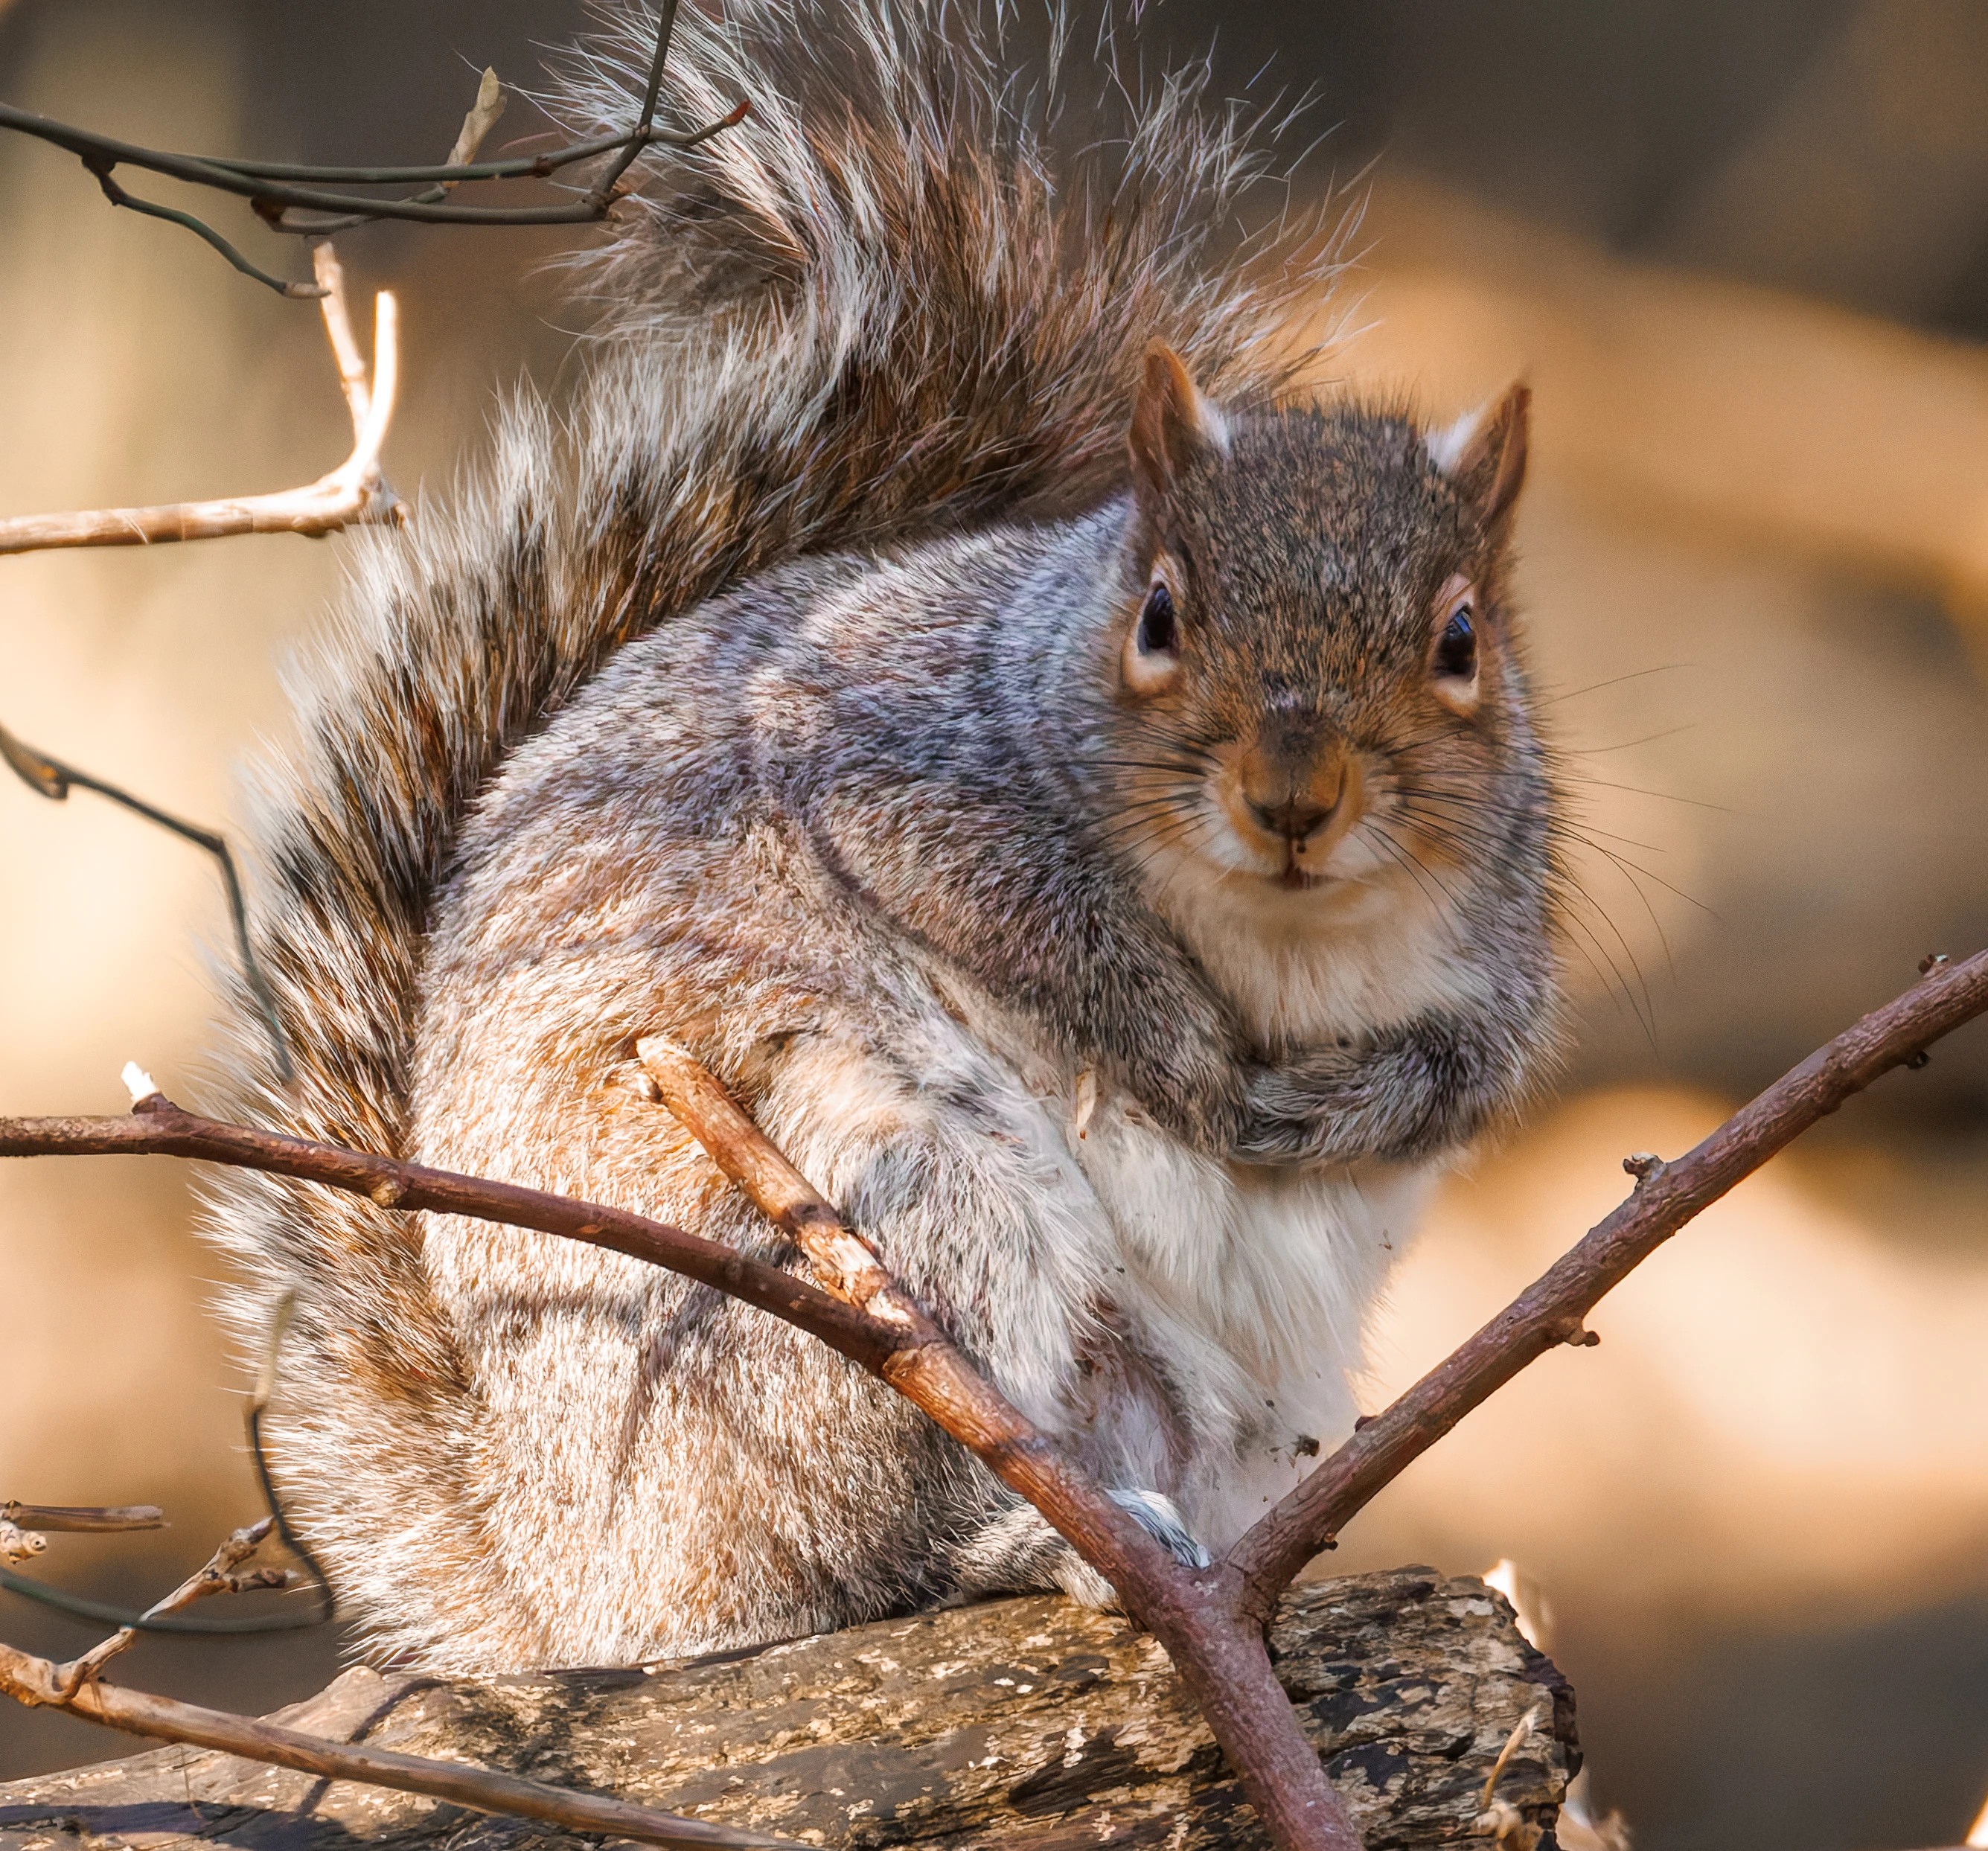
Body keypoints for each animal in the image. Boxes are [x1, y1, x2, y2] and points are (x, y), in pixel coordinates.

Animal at [203, 0, 1563, 1673]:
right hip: (846, 1233)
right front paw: (1183, 1058)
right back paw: (1035, 1549)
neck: (1282, 932)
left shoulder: (1502, 926)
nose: (1295, 799)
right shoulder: (885, 767)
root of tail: (571, 1579)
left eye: (1463, 642)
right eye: (1158, 616)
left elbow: (1476, 1067)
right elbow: (1031, 931)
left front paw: (1350, 1105)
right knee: (848, 1559)